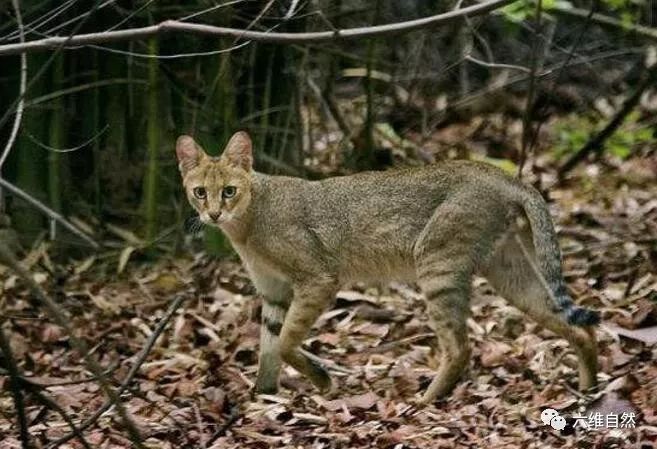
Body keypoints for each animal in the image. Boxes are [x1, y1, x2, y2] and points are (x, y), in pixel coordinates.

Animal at [176, 130, 600, 402]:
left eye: (229, 191)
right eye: (200, 192)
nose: (213, 214)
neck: (246, 224)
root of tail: (501, 173)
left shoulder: (317, 279)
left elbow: (284, 342)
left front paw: (322, 382)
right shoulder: (273, 291)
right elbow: (268, 347)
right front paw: (262, 396)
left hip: (437, 264)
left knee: (461, 347)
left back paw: (426, 401)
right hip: (510, 272)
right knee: (577, 327)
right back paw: (590, 388)